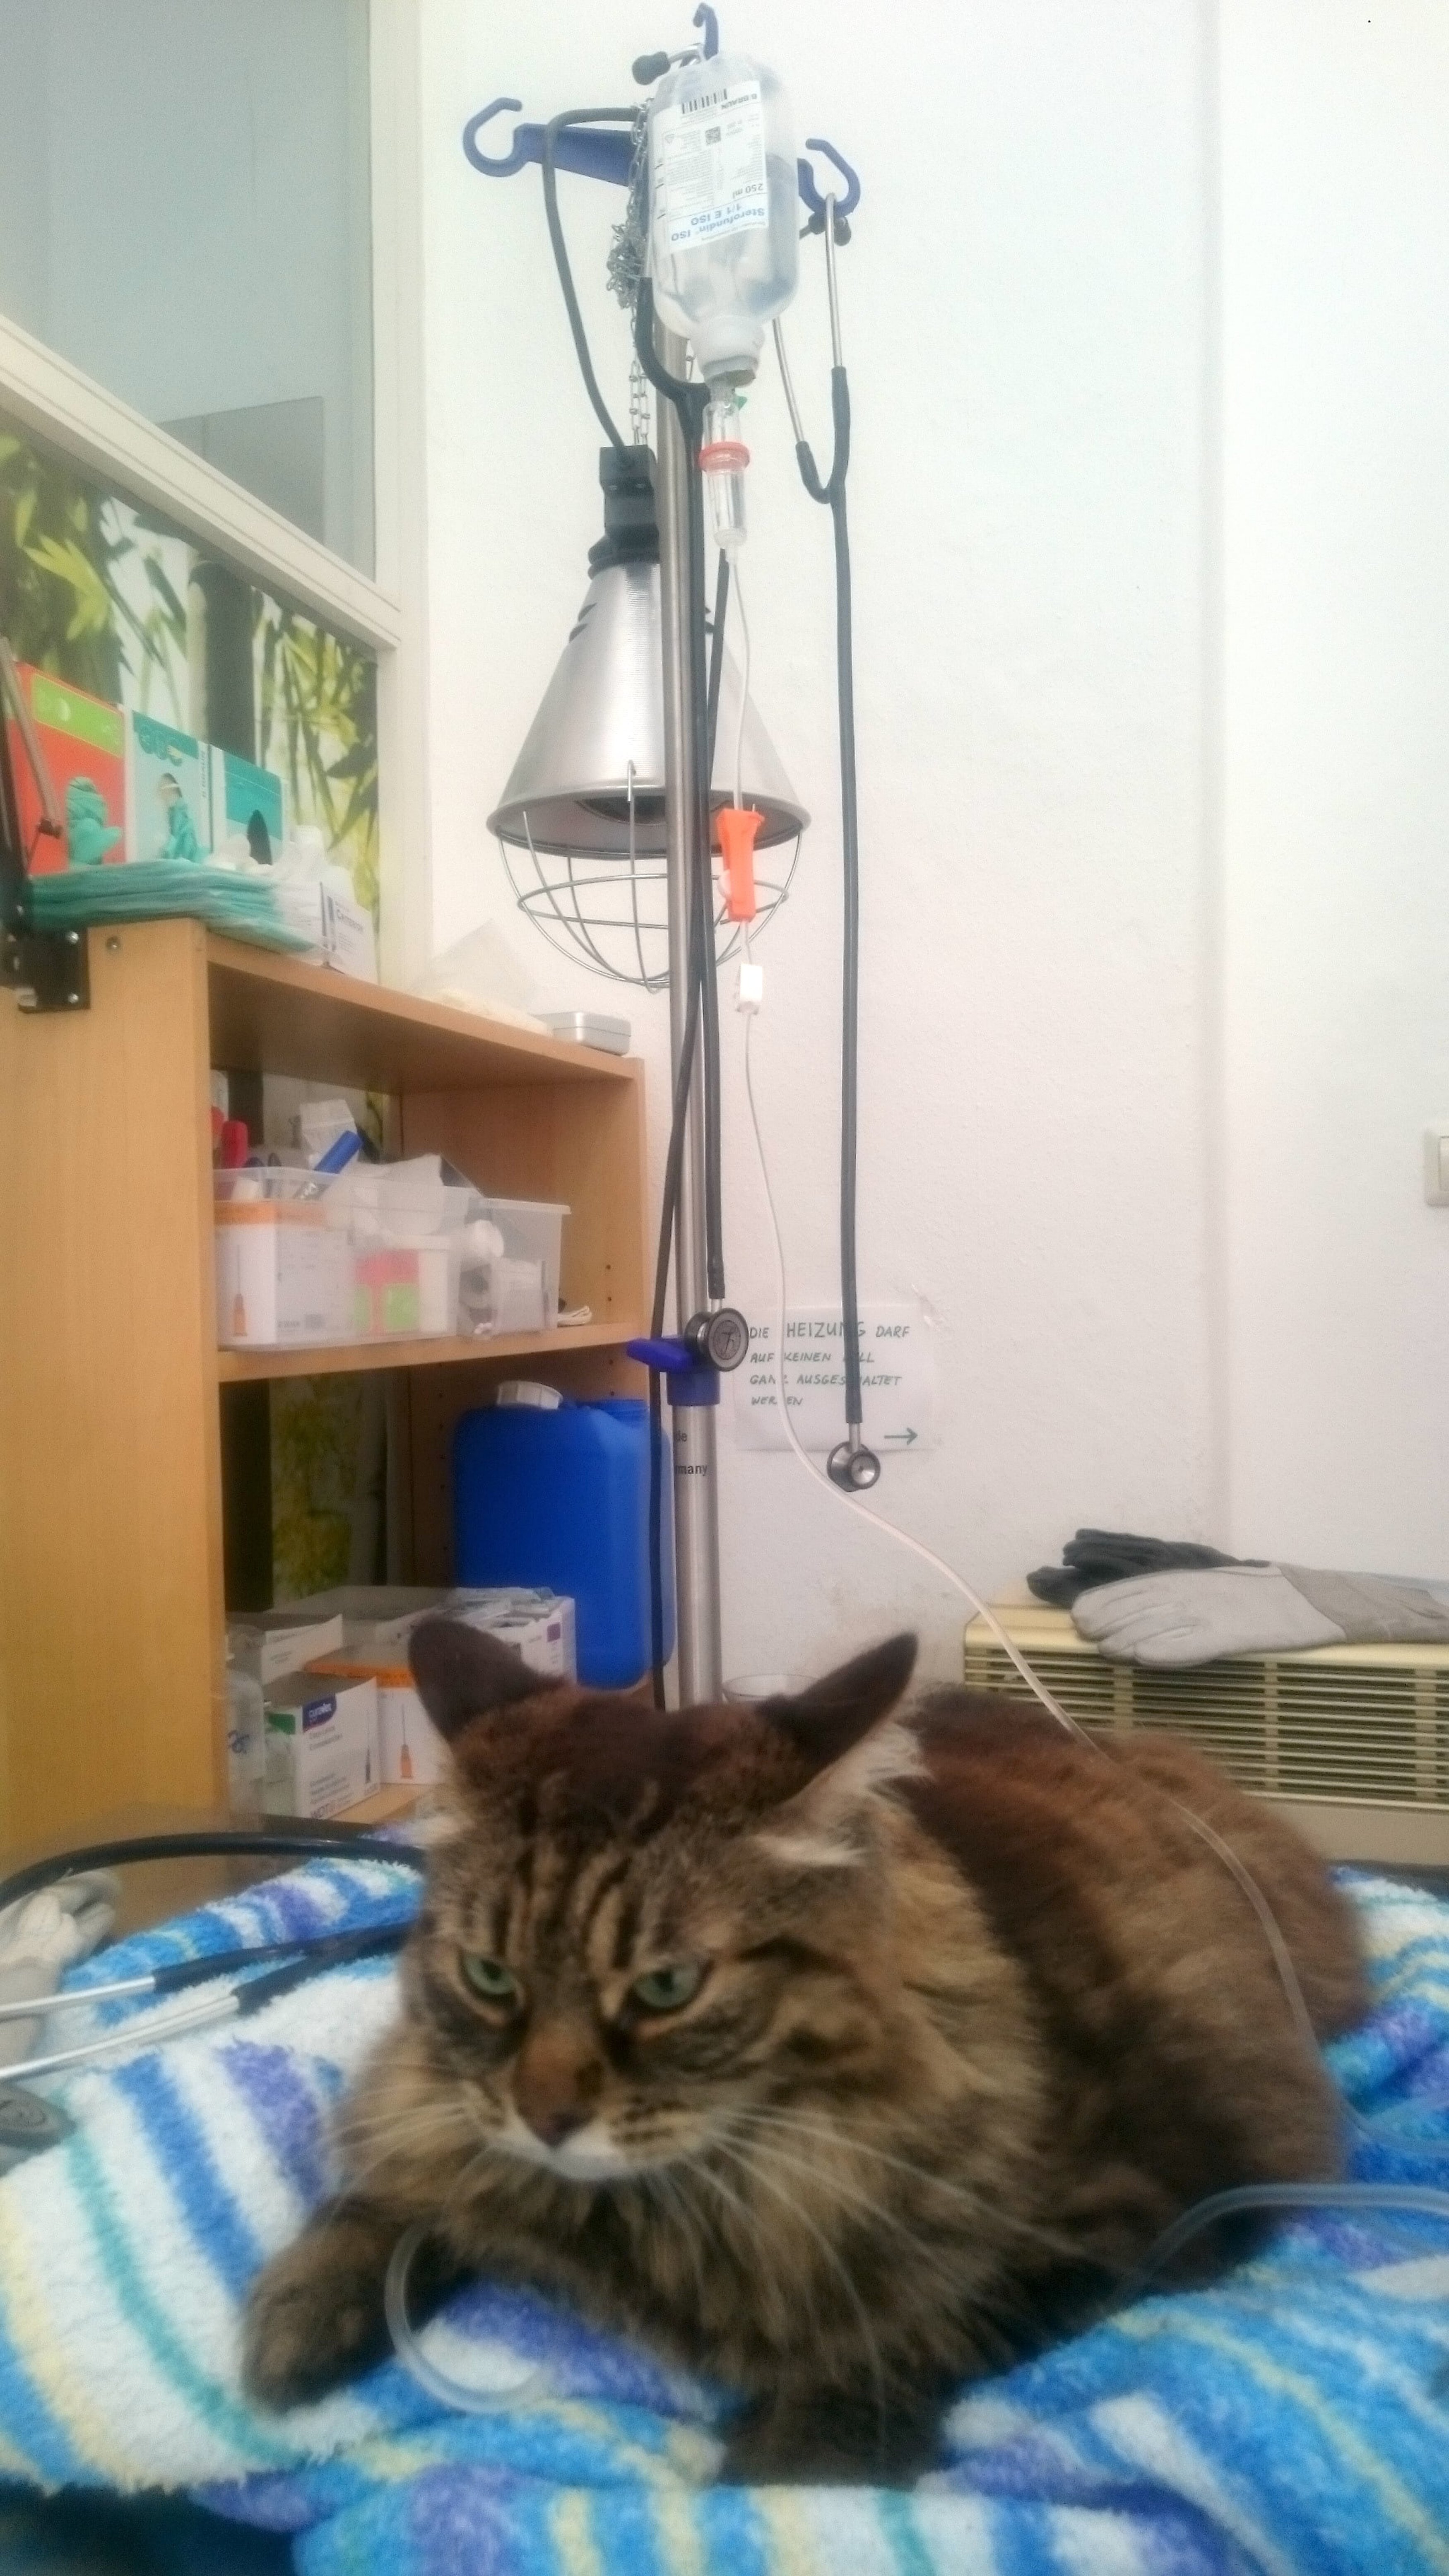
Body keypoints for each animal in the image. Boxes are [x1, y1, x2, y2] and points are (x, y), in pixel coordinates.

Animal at [243, 1618, 1368, 2483]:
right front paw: (289, 2329)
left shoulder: (1130, 2211)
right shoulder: (435, 2118)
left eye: (667, 1987)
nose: (546, 2117)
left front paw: (791, 2470)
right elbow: (382, 2201)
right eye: (490, 1977)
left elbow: (900, 2334)